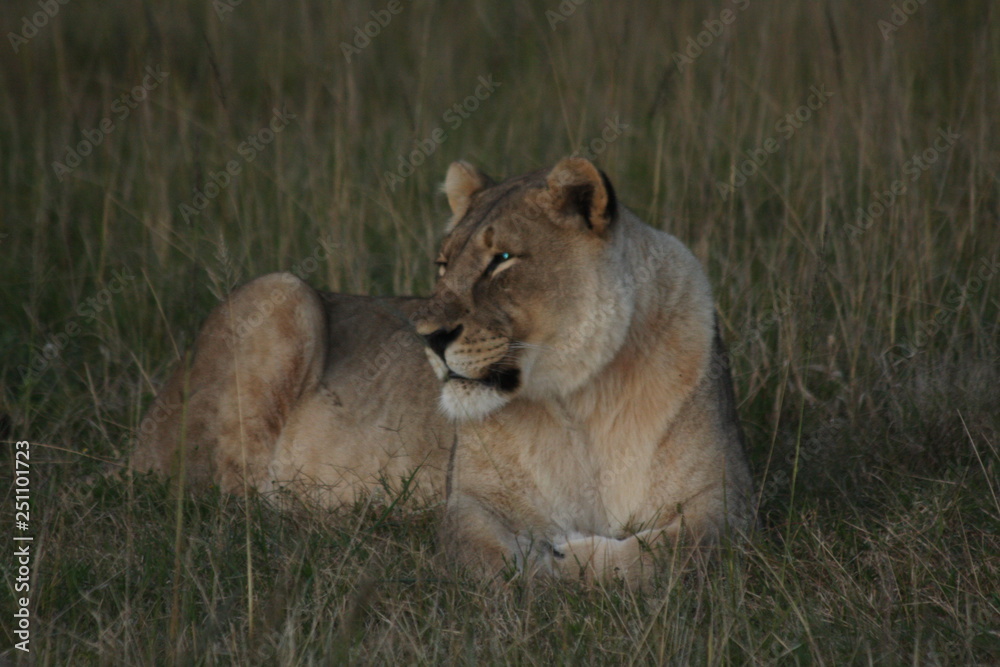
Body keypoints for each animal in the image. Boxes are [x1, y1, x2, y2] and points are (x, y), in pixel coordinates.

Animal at [413, 157, 755, 585]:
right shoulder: (468, 501)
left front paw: (568, 559)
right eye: (443, 265)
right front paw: (540, 571)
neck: (582, 396)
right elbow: (486, 560)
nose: (429, 337)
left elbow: (665, 557)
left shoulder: (726, 503)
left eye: (502, 259)